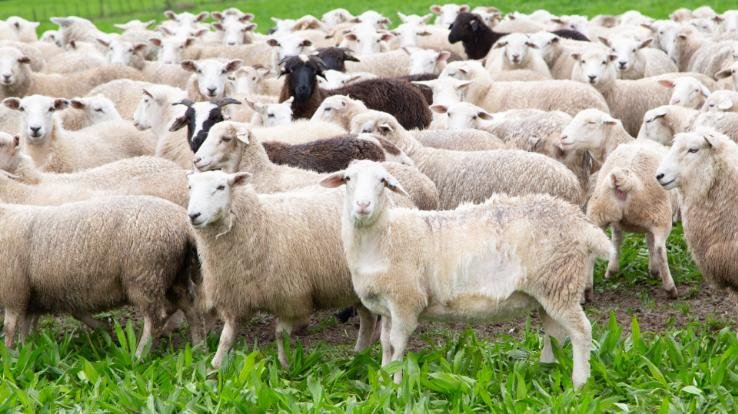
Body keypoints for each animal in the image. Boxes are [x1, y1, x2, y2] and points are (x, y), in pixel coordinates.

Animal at [0, 195, 202, 354]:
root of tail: (183, 224)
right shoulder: (30, 295)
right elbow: (25, 327)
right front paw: (25, 350)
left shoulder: (14, 291)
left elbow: (10, 327)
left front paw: (10, 356)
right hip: (175, 275)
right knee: (190, 308)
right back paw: (199, 347)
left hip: (145, 276)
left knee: (155, 320)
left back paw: (139, 356)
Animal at [320, 160, 610, 387]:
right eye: (348, 178)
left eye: (382, 181)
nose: (363, 205)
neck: (386, 236)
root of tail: (579, 221)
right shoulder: (387, 307)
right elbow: (385, 344)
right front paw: (382, 377)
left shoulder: (406, 302)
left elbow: (397, 344)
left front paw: (397, 383)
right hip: (549, 290)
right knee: (555, 332)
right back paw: (546, 368)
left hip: (560, 281)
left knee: (582, 331)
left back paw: (579, 382)